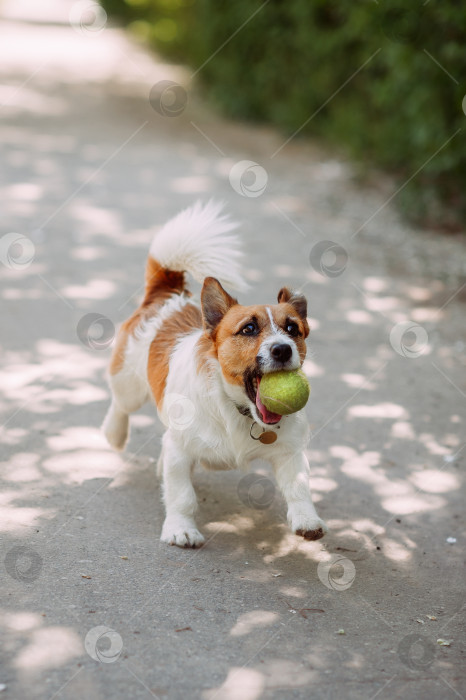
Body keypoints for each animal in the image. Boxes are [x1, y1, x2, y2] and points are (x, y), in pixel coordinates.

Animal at [102, 201, 328, 548]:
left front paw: (306, 520)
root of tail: (168, 295)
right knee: (120, 404)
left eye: (292, 329)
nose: (282, 349)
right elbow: (182, 495)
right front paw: (180, 528)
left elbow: (299, 487)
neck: (236, 410)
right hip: (129, 385)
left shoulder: (290, 452)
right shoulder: (181, 450)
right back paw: (115, 433)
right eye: (248, 329)